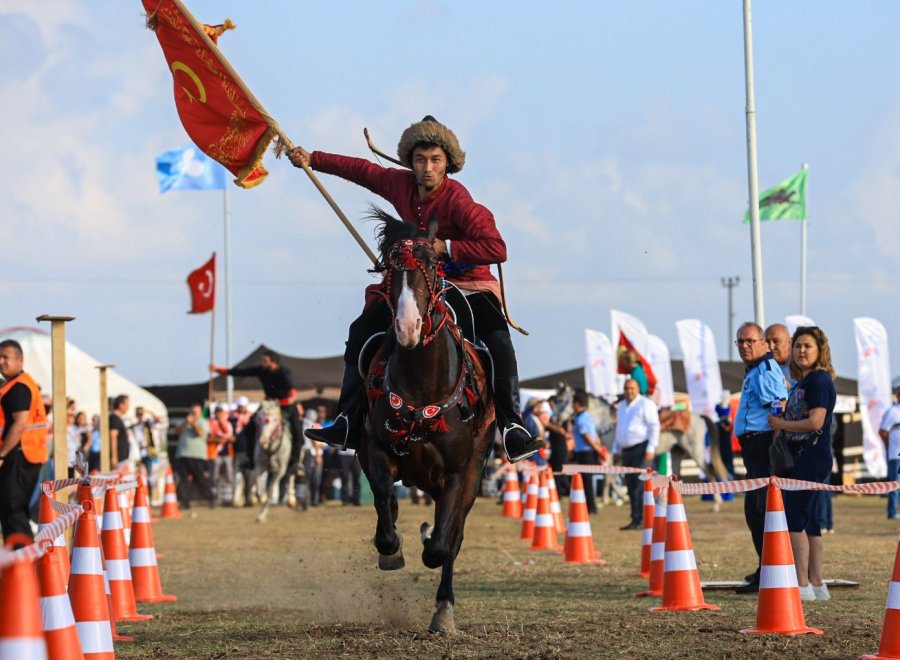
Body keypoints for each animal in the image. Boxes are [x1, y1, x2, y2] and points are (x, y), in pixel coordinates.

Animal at [358, 211, 496, 636]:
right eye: (389, 269)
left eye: (434, 264)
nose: (407, 327)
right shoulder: (374, 451)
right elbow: (383, 501)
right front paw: (392, 549)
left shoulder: (457, 474)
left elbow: (441, 547)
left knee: (453, 538)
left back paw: (443, 611)